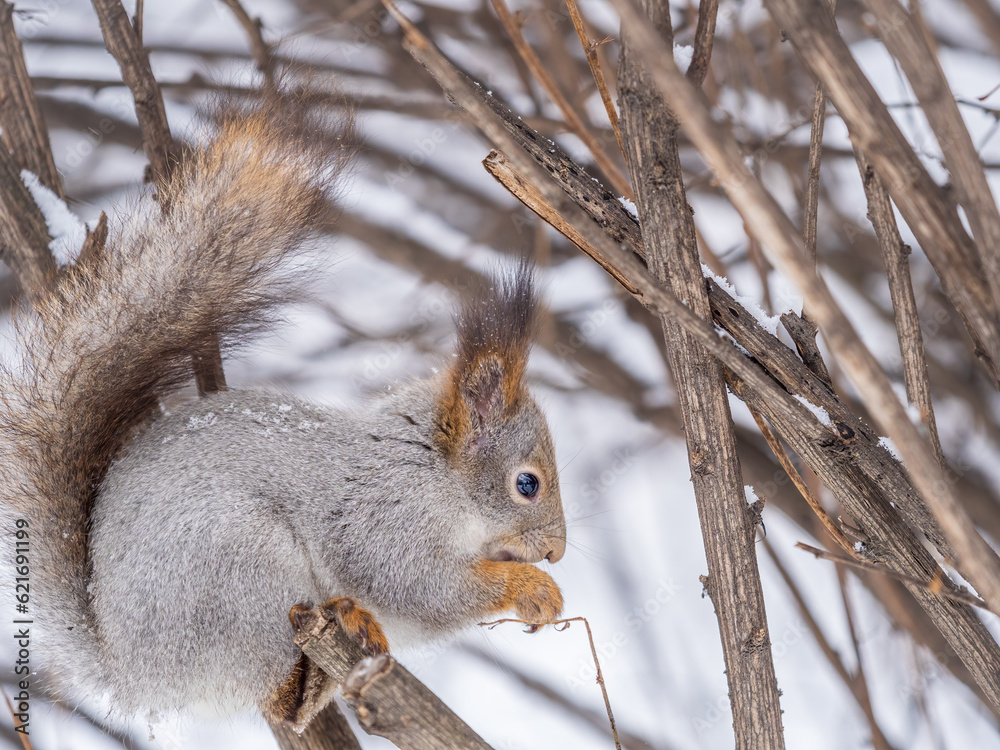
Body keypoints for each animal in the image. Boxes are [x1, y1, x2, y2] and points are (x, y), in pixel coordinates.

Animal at [0, 92, 566, 732]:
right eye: (527, 483)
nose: (556, 551)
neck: (434, 472)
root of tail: (135, 675)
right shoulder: (384, 517)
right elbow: (419, 585)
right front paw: (532, 588)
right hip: (242, 573)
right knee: (274, 694)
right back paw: (316, 668)